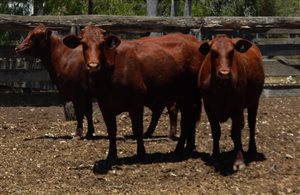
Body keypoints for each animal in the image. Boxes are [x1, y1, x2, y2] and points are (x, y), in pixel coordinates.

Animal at [63, 25, 204, 169]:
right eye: (83, 44)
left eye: (102, 44)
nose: (93, 66)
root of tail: (194, 41)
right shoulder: (105, 105)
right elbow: (111, 130)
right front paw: (111, 157)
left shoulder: (136, 102)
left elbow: (137, 128)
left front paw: (141, 154)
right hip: (184, 96)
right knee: (189, 119)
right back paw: (188, 148)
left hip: (188, 95)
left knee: (186, 120)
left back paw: (179, 149)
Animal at [199, 34, 264, 171]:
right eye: (213, 52)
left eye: (232, 52)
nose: (224, 73)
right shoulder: (208, 107)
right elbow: (216, 132)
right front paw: (216, 158)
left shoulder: (237, 107)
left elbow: (235, 132)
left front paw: (238, 161)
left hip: (254, 101)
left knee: (251, 125)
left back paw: (252, 150)